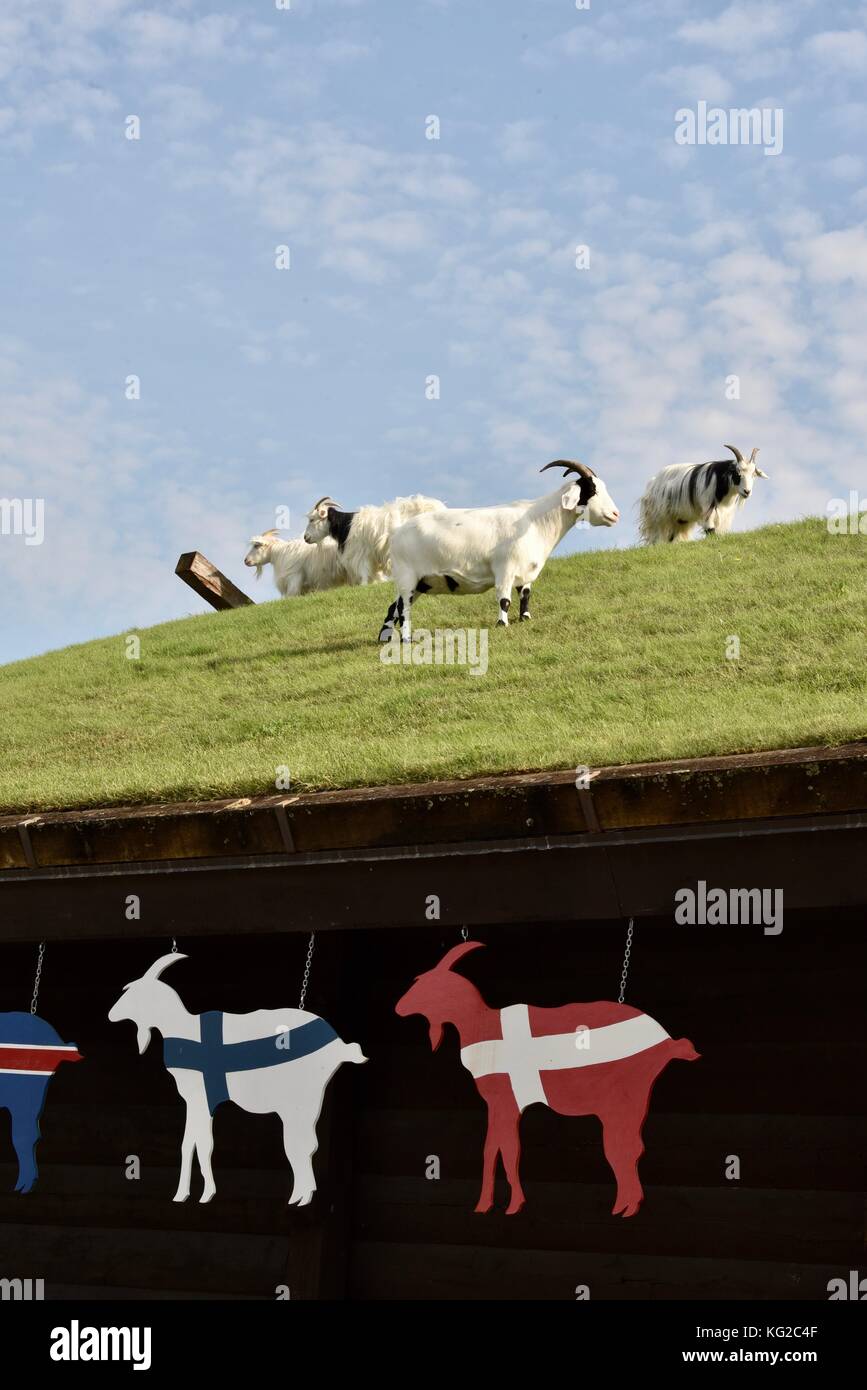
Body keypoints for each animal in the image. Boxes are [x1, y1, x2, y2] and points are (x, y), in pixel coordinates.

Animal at [108, 956, 366, 1206]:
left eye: (132, 991)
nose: (110, 1014)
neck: (184, 1031)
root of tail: (339, 1046)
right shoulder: (194, 1101)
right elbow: (189, 1143)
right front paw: (182, 1195)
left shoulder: (202, 1099)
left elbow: (203, 1144)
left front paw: (205, 1194)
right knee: (304, 1145)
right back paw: (301, 1196)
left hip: (300, 1103)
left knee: (300, 1145)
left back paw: (301, 1197)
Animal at [375, 461, 619, 644]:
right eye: (592, 490)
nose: (615, 514)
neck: (535, 520)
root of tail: (395, 532)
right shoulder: (504, 567)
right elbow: (504, 599)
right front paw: (502, 624)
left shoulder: (524, 572)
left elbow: (525, 596)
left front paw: (525, 619)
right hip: (407, 576)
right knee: (403, 608)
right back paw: (406, 639)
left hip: (419, 582)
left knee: (393, 607)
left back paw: (384, 637)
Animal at [636, 444, 766, 542]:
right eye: (737, 473)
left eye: (753, 475)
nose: (747, 492)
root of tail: (652, 482)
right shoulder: (707, 509)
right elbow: (710, 530)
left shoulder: (725, 514)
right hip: (658, 516)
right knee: (656, 535)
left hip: (679, 519)